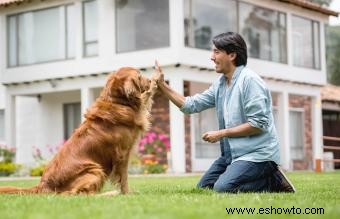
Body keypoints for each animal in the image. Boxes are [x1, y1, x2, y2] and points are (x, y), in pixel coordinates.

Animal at [0, 67, 158, 195]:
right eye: (139, 76)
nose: (150, 80)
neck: (117, 102)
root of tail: (43, 185)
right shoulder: (122, 155)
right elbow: (123, 178)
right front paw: (126, 193)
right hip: (95, 169)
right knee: (76, 194)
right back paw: (110, 194)